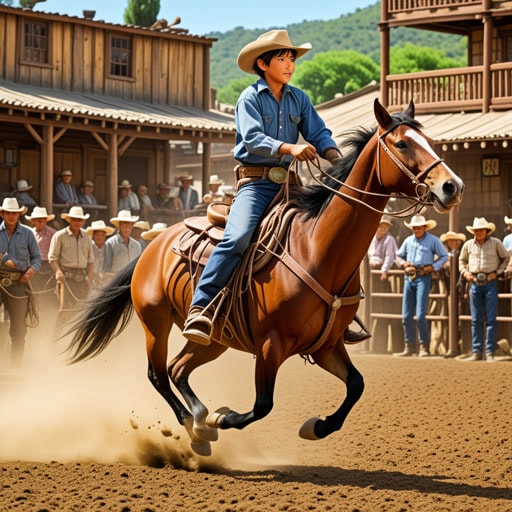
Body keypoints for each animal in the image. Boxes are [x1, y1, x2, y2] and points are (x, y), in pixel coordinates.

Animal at [65, 100, 464, 456]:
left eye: (431, 141)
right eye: (402, 143)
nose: (452, 186)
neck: (318, 248)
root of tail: (154, 244)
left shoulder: (327, 345)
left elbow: (356, 385)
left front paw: (316, 427)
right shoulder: (271, 345)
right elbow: (262, 405)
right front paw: (222, 418)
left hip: (213, 338)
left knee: (178, 369)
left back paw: (199, 423)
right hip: (155, 323)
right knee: (158, 374)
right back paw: (198, 426)